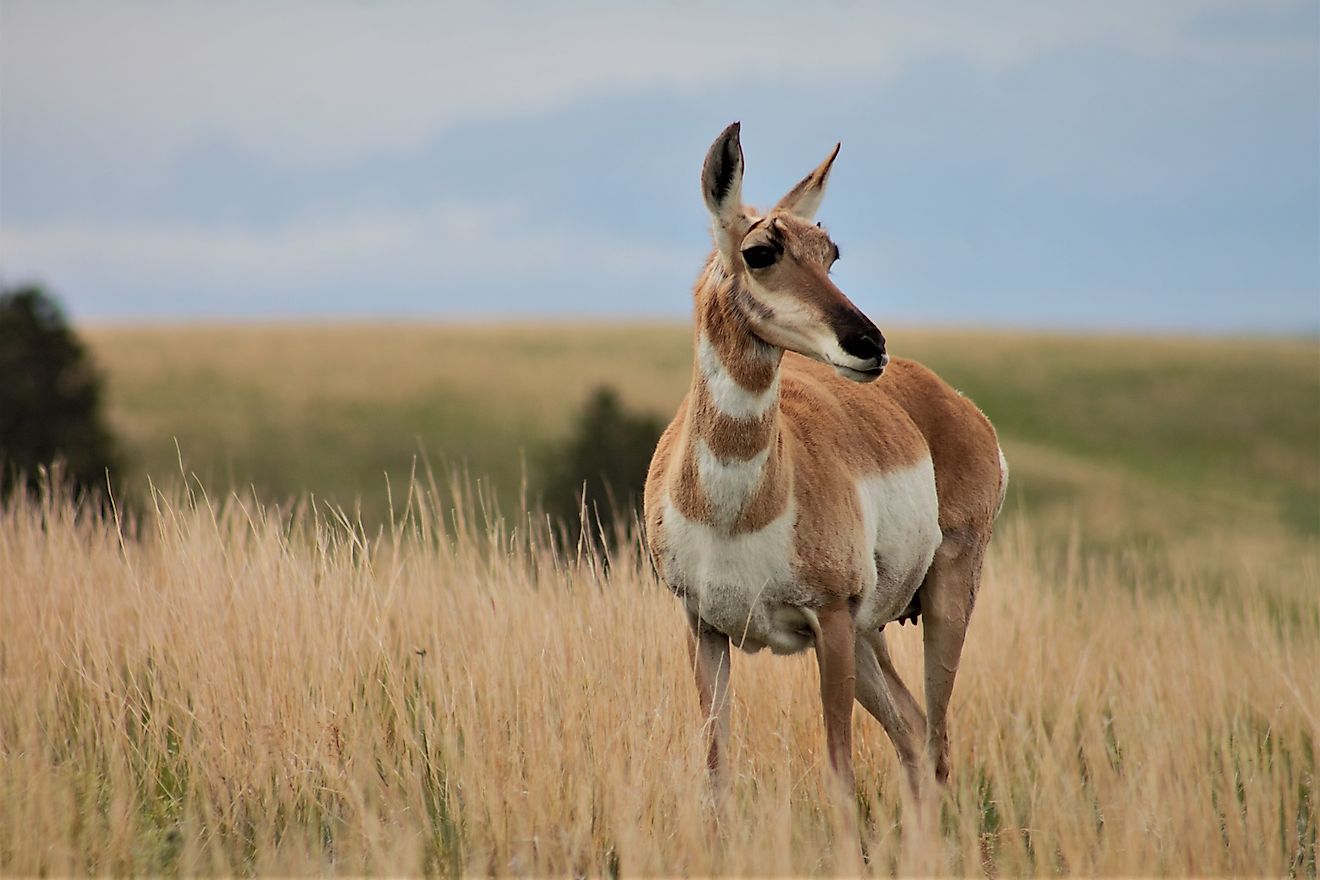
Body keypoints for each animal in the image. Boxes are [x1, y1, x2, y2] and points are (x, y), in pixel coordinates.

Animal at [644, 122, 1003, 796]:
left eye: (830, 252)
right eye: (761, 251)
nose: (869, 344)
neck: (737, 511)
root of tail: (958, 405)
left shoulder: (830, 623)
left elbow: (840, 773)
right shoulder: (702, 629)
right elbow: (715, 776)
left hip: (943, 602)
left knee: (937, 743)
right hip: (871, 637)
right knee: (913, 730)